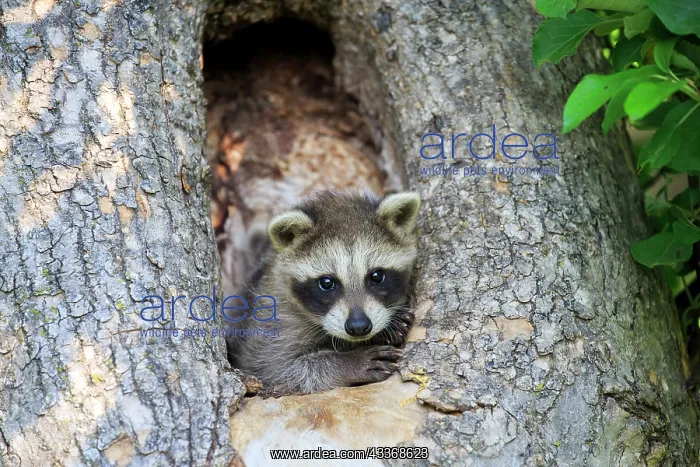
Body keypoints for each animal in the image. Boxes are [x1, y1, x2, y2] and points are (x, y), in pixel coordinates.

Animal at [229, 190, 421, 394]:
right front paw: (349, 361)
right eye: (327, 283)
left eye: (376, 276)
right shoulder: (271, 323)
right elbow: (278, 370)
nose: (359, 327)